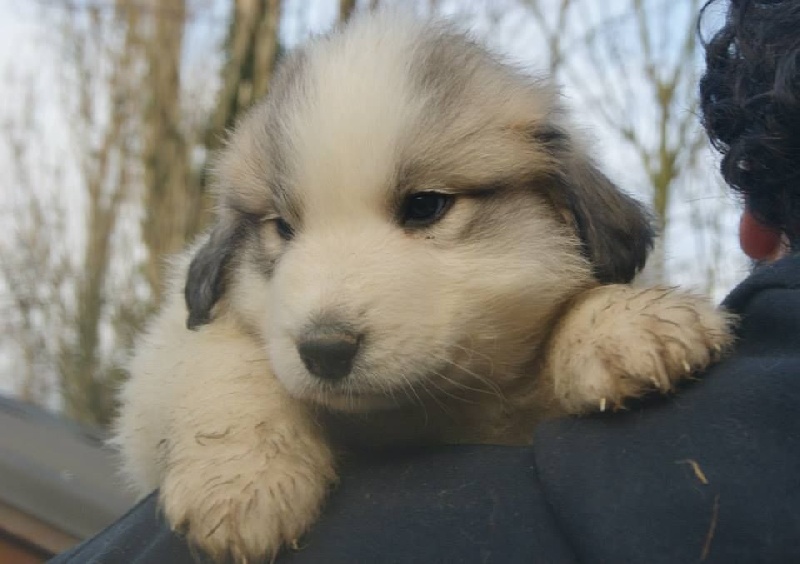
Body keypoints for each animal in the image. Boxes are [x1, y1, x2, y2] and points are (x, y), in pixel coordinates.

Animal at [111, 9, 732, 564]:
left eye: (426, 206)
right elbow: (227, 353)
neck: (419, 416)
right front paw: (245, 477)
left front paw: (625, 324)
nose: (324, 350)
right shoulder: (171, 351)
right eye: (282, 228)